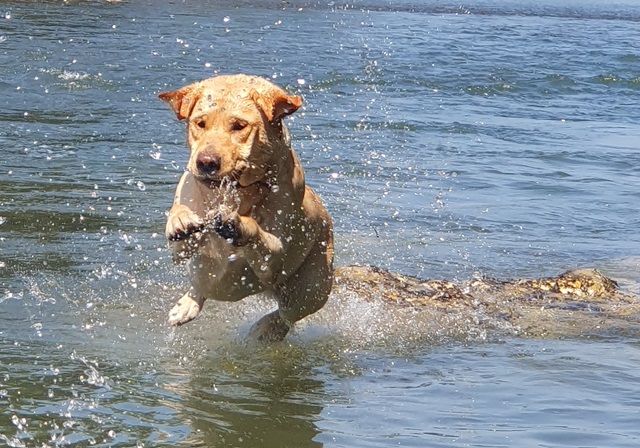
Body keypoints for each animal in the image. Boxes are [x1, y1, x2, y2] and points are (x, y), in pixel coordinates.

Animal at [159, 74, 336, 340]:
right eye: (200, 123)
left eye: (239, 126)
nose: (206, 162)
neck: (238, 193)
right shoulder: (180, 252)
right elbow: (180, 220)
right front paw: (181, 220)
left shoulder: (274, 258)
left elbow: (257, 231)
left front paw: (236, 223)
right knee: (201, 287)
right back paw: (186, 306)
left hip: (311, 289)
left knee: (288, 315)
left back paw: (267, 329)